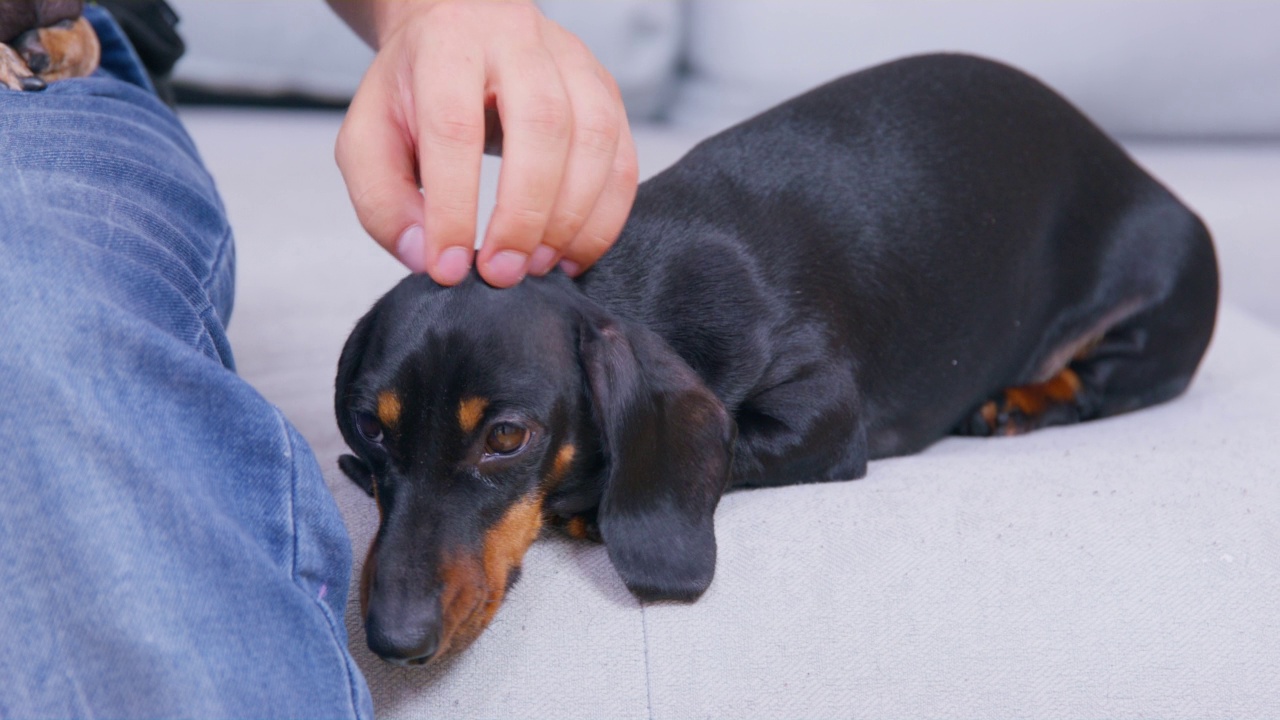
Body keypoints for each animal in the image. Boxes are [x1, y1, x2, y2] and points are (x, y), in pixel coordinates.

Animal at [337, 53, 1218, 666]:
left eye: (507, 438)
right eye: (371, 431)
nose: (391, 641)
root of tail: (1136, 168)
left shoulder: (822, 418)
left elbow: (733, 445)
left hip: (1159, 300)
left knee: (1100, 382)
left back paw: (1024, 400)